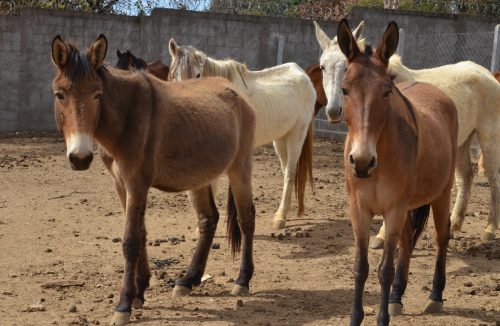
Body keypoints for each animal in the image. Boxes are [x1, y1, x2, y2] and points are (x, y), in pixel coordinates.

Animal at [52, 34, 256, 324]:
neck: (126, 118)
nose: (80, 158)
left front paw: (124, 304)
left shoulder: (137, 183)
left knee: (246, 218)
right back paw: (188, 280)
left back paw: (242, 280)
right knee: (208, 220)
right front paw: (140, 292)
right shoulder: (121, 185)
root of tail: (234, 90)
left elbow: (130, 241)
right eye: (60, 95)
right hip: (200, 177)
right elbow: (141, 233)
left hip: (239, 168)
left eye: (97, 95)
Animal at [169, 40, 316, 229]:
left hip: (296, 135)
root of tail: (303, 75)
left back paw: (280, 218)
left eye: (198, 75)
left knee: (290, 173)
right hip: (280, 139)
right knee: (287, 173)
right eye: (173, 76)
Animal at [314, 21, 500, 242]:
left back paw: (490, 229)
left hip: (488, 137)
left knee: (493, 177)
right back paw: (454, 225)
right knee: (465, 177)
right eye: (323, 67)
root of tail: (489, 75)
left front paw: (382, 235)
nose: (334, 111)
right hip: (462, 142)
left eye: (345, 67)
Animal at [336, 20, 458, 326]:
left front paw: (381, 319)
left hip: (441, 194)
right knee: (408, 239)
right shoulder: (359, 210)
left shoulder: (393, 210)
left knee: (441, 236)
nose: (362, 162)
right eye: (344, 89)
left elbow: (385, 270)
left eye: (386, 91)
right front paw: (356, 317)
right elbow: (361, 267)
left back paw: (435, 296)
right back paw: (396, 296)